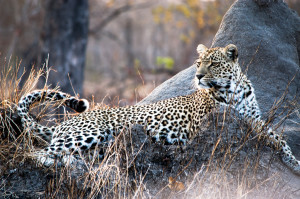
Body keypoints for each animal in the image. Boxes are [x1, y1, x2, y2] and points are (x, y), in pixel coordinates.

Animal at [18, 44, 300, 174]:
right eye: (198, 63)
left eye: (213, 64)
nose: (198, 76)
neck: (236, 89)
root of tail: (59, 125)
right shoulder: (225, 121)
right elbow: (271, 136)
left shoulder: (255, 118)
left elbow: (279, 137)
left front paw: (294, 162)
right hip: (89, 133)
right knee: (35, 152)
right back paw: (61, 164)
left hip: (98, 144)